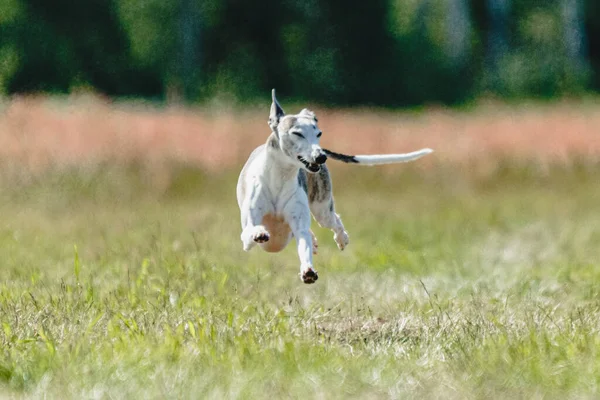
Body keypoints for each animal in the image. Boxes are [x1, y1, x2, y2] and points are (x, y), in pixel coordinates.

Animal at [237, 90, 434, 284]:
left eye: (319, 133)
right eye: (297, 133)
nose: (321, 156)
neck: (280, 178)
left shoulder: (299, 224)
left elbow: (303, 242)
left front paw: (308, 270)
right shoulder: (246, 234)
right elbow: (251, 233)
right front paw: (259, 232)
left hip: (322, 210)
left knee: (332, 221)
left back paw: (340, 237)